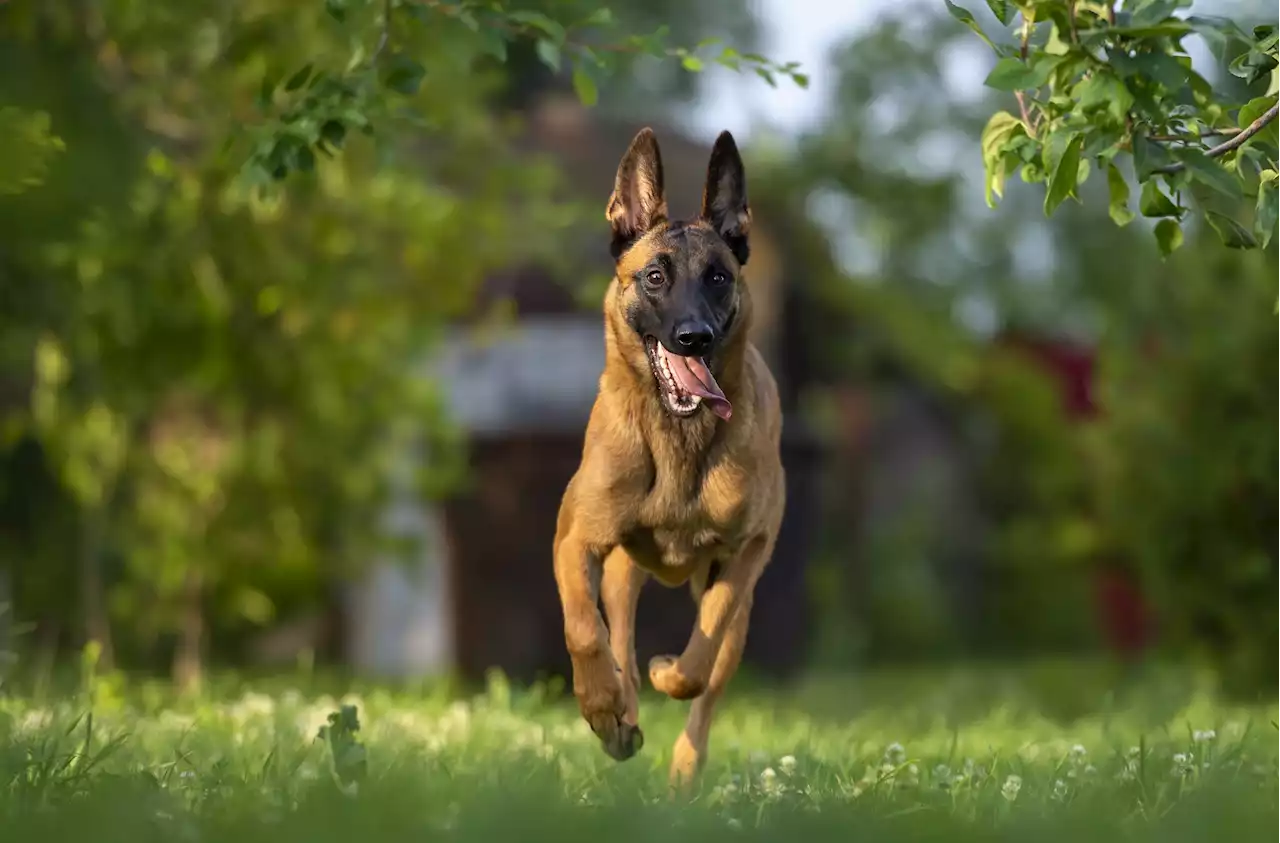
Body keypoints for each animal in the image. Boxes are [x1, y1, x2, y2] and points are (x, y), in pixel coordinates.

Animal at [552, 127, 783, 793]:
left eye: (719, 277)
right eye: (654, 276)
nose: (693, 337)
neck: (679, 440)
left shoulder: (746, 552)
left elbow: (697, 664)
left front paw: (667, 673)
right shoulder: (575, 541)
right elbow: (585, 631)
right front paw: (601, 707)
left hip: (738, 607)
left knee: (708, 682)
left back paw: (682, 764)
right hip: (622, 575)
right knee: (618, 641)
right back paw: (619, 715)